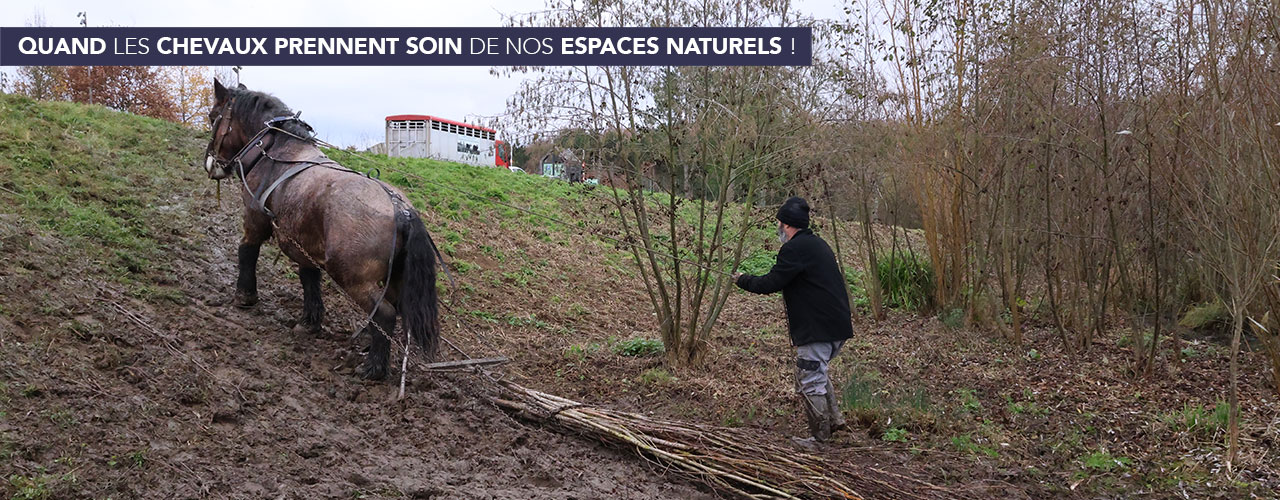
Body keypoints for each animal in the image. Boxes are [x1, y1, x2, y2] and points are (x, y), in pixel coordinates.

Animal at [203, 79, 439, 380]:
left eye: (213, 117)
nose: (211, 164)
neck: (277, 153)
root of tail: (400, 208)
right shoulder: (303, 241)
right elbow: (309, 277)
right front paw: (310, 321)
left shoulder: (255, 219)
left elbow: (247, 250)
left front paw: (244, 296)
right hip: (394, 276)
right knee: (392, 307)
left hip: (350, 275)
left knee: (384, 313)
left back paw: (373, 367)